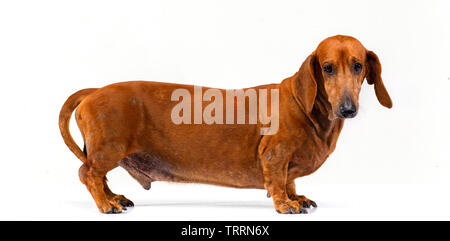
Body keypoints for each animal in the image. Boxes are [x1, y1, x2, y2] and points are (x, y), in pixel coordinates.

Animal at [59, 35, 390, 213]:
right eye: (327, 68)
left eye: (358, 65)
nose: (348, 109)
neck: (305, 106)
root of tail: (94, 91)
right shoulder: (275, 154)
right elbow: (278, 181)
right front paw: (286, 204)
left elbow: (290, 181)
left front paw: (297, 197)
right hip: (109, 149)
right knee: (88, 173)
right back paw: (106, 204)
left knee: (99, 176)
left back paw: (114, 197)